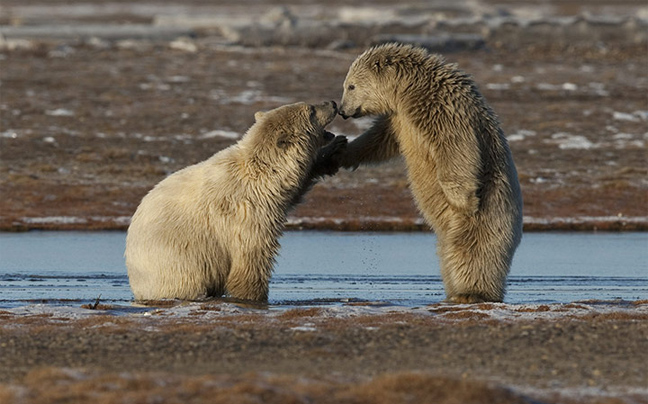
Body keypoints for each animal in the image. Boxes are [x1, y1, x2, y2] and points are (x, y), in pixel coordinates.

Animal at [124, 102, 344, 304]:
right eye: (311, 110)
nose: (333, 103)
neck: (260, 172)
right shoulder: (246, 211)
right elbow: (250, 258)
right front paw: (255, 297)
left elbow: (297, 187)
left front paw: (335, 150)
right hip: (178, 265)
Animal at [336, 44, 524, 304]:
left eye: (350, 86)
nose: (342, 111)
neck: (409, 89)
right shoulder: (399, 118)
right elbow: (380, 140)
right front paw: (342, 150)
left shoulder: (441, 107)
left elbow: (456, 148)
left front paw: (463, 201)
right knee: (448, 252)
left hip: (490, 215)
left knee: (472, 251)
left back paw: (471, 292)